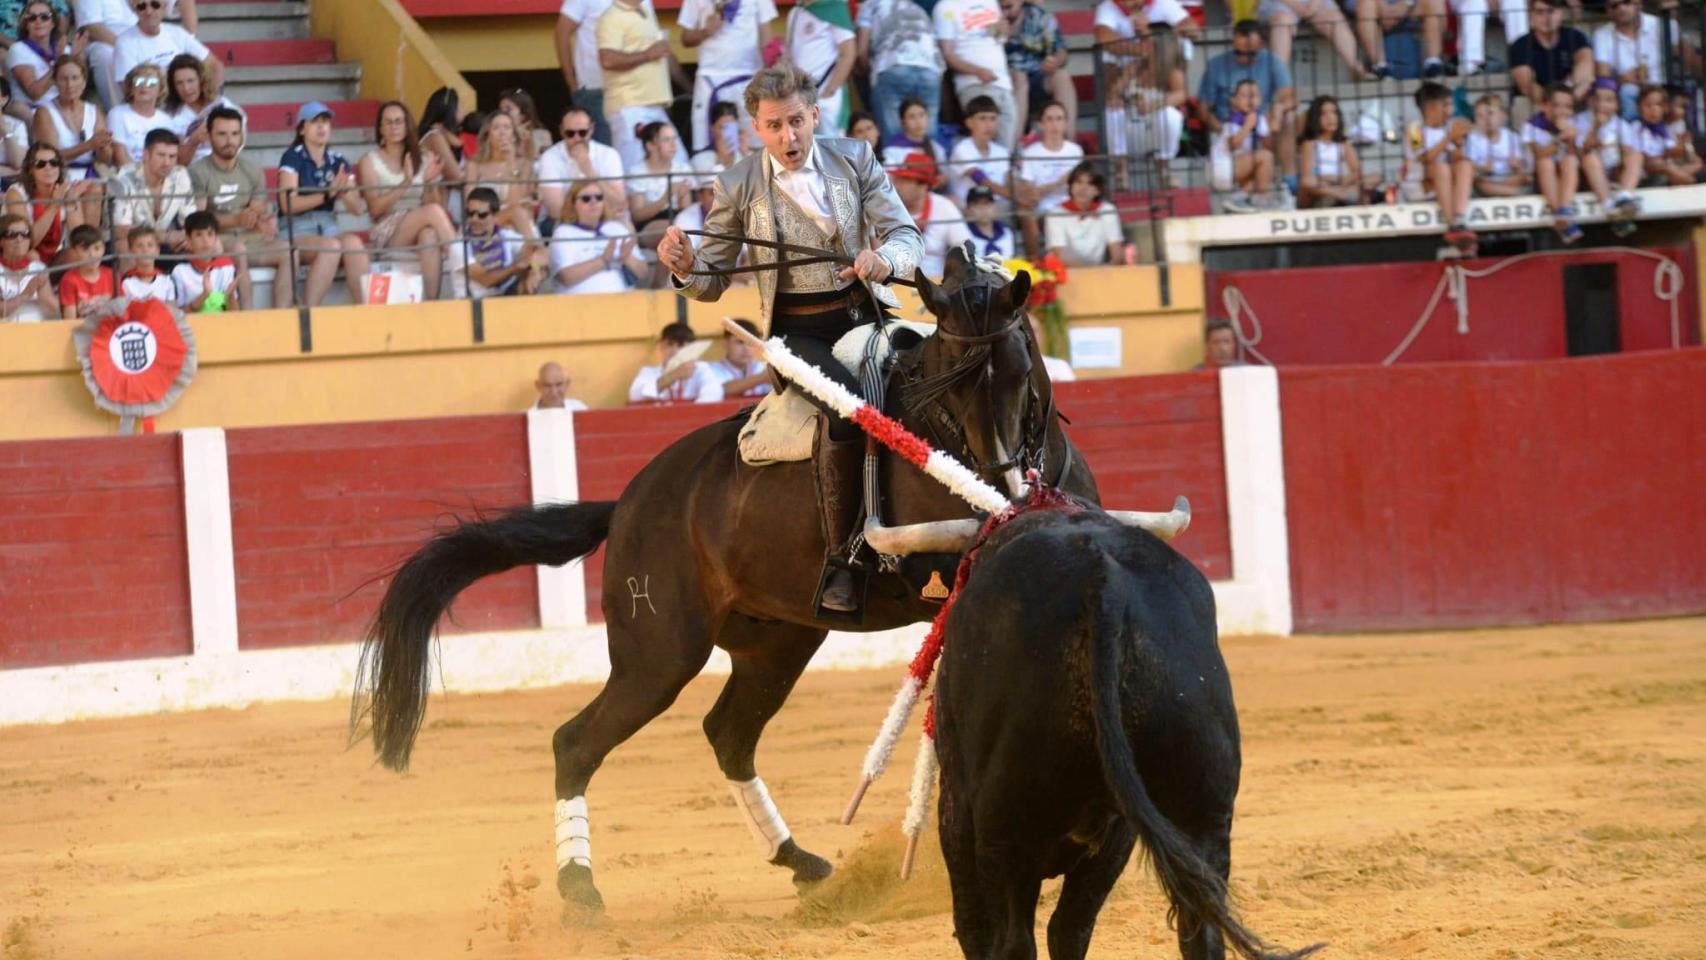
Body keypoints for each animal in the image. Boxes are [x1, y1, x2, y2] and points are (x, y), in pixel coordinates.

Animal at [353, 245, 1173, 913]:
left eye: (1017, 372)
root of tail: (631, 500)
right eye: (947, 384)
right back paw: (581, 890)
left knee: (728, 733)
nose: (1003, 485)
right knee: (576, 743)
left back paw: (801, 861)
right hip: (658, 653)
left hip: (777, 642)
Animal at [934, 508, 1317, 954]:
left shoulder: (955, 800)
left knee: (1011, 939)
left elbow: (977, 922)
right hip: (1203, 810)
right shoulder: (1121, 831)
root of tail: (1101, 578)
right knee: (1196, 925)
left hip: (1006, 827)